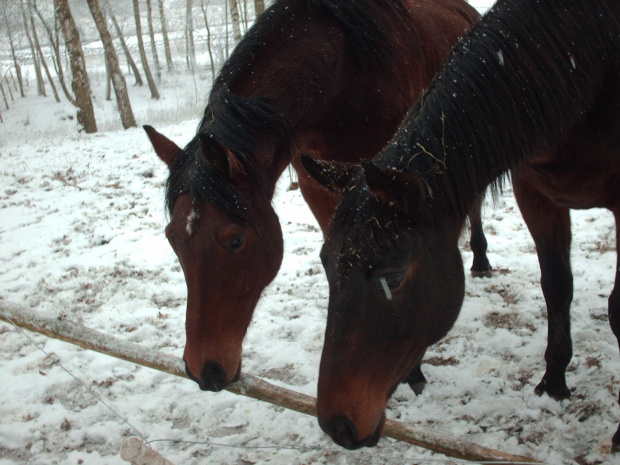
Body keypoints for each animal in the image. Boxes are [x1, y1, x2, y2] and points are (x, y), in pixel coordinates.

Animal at [144, 0, 480, 392]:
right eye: (171, 238)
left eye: (236, 240)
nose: (204, 370)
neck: (343, 77)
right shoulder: (316, 185)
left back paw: (482, 260)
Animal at [304, 0, 620, 452]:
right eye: (327, 265)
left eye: (393, 276)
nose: (337, 424)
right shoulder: (535, 196)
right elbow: (557, 286)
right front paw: (555, 381)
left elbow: (616, 308)